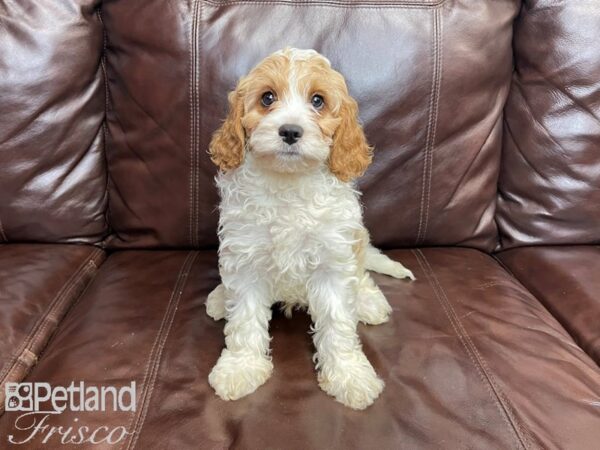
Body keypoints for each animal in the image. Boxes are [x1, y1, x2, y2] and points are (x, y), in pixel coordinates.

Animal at [204, 47, 414, 410]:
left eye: (318, 101)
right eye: (267, 98)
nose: (290, 131)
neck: (290, 184)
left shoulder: (333, 259)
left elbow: (338, 323)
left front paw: (348, 375)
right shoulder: (246, 257)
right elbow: (244, 317)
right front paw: (240, 367)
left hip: (355, 240)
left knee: (361, 271)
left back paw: (368, 301)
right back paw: (220, 297)